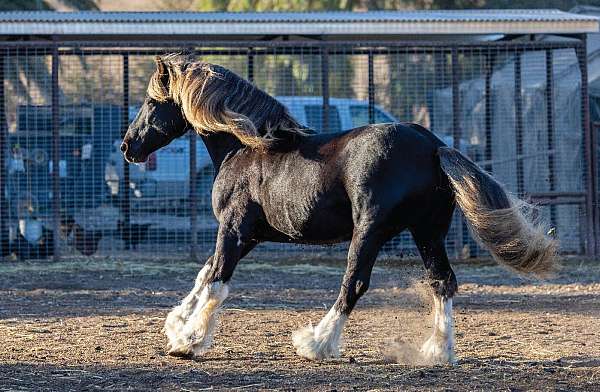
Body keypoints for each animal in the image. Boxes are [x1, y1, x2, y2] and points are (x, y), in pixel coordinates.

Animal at [122, 55, 556, 364]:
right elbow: (205, 273)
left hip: (371, 230)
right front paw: (177, 325)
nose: (128, 147)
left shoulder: (234, 229)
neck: (244, 147)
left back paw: (316, 342)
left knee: (355, 282)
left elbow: (216, 280)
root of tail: (433, 145)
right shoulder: (250, 237)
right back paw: (437, 352)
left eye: (151, 101)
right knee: (442, 281)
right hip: (427, 232)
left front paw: (189, 340)